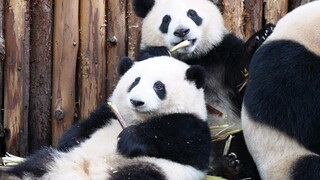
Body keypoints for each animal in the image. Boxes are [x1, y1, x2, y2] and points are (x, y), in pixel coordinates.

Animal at [1, 56, 212, 180]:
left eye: (158, 86)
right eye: (135, 81)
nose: (136, 101)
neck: (137, 118)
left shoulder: (194, 128)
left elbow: (183, 142)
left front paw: (130, 138)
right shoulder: (108, 113)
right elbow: (84, 127)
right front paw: (69, 140)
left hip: (145, 169)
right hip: (57, 160)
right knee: (34, 164)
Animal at [131, 0, 274, 178]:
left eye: (192, 13)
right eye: (166, 19)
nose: (182, 31)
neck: (193, 58)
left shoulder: (223, 53)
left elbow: (247, 86)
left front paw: (260, 38)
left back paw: (233, 166)